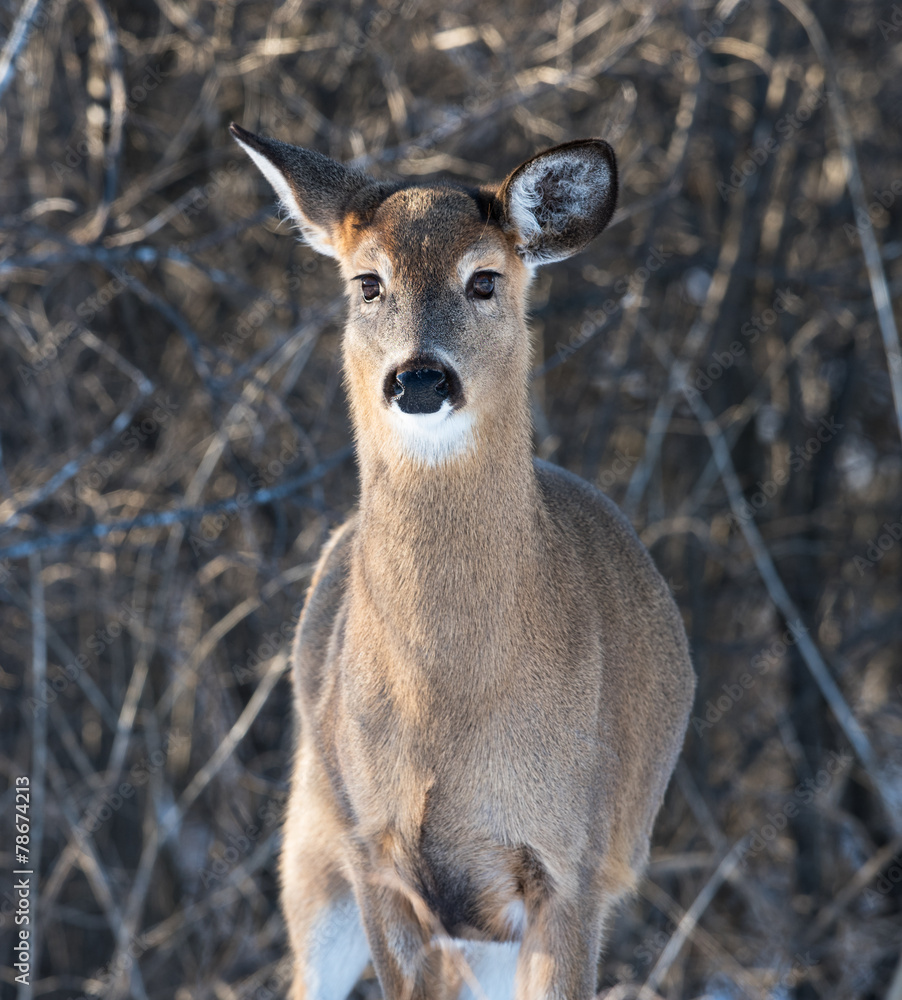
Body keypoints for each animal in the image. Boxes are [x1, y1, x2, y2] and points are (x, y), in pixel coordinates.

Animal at [230, 121, 695, 1000]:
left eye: (484, 280)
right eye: (368, 282)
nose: (419, 377)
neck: (449, 705)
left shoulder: (571, 861)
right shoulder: (379, 860)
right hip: (313, 843)